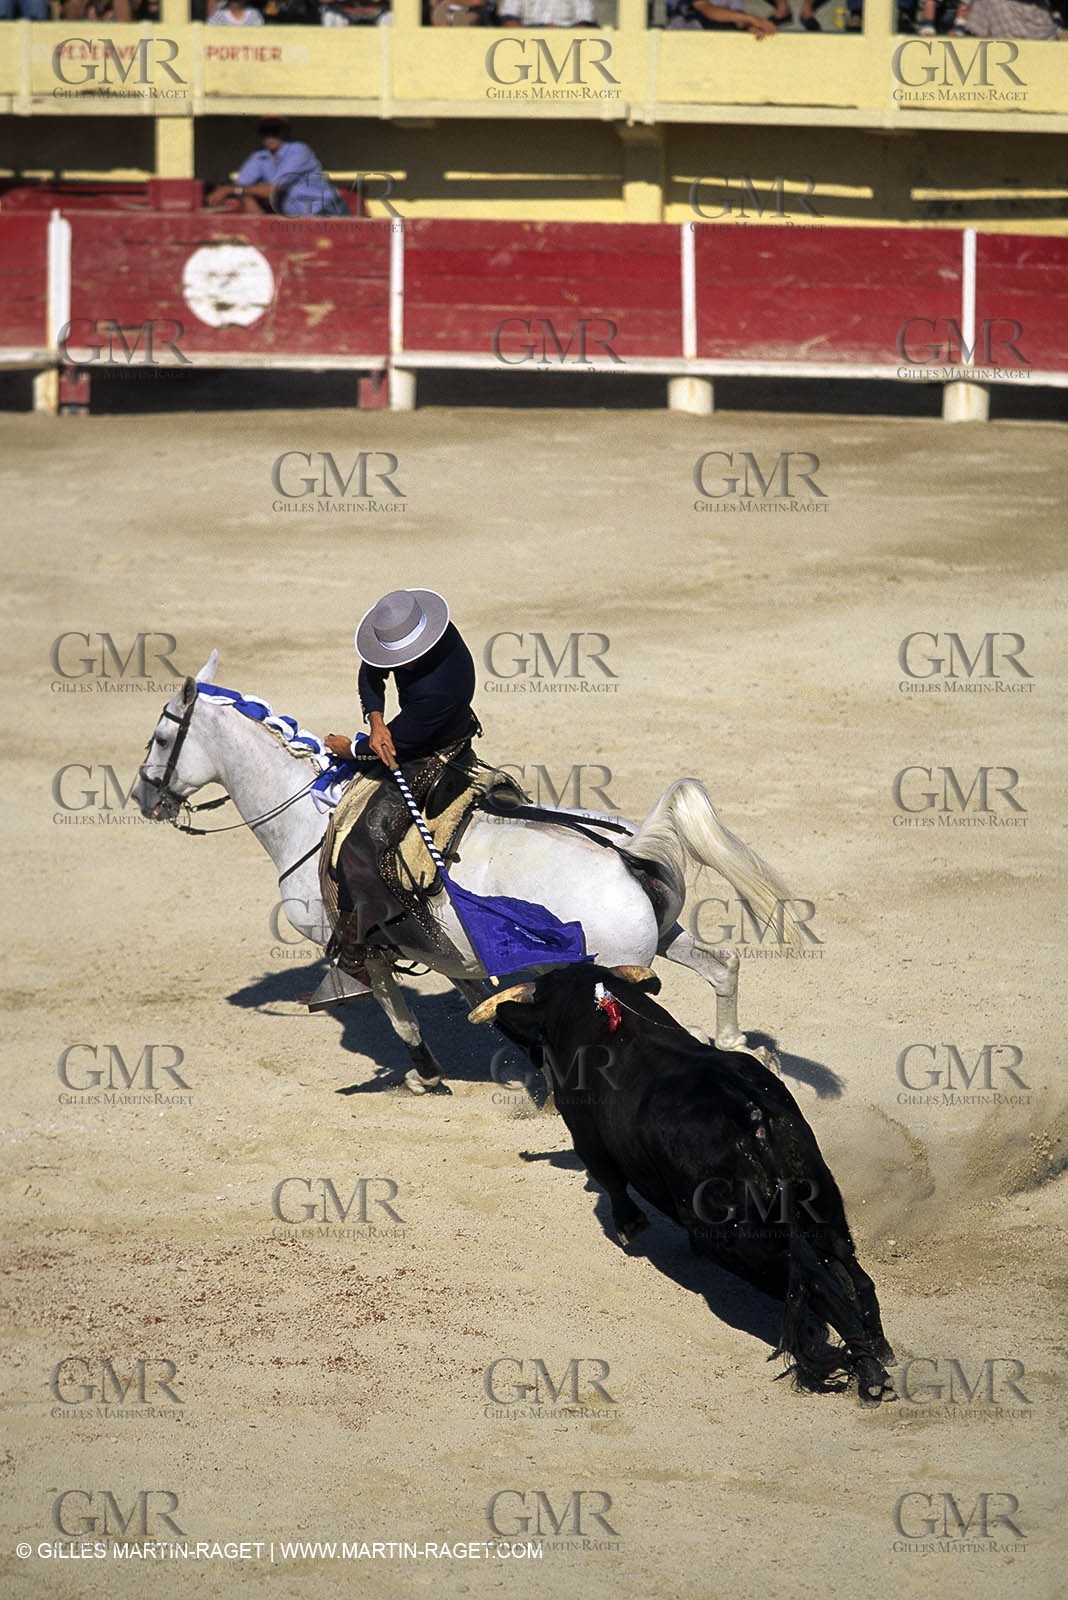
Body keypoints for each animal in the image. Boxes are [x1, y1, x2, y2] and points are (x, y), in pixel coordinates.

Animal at [471, 963, 895, 1403]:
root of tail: (748, 1110)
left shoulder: (585, 1134)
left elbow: (611, 1181)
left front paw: (629, 1226)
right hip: (819, 1197)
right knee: (851, 1271)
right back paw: (879, 1348)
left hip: (740, 1242)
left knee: (820, 1288)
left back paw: (870, 1374)